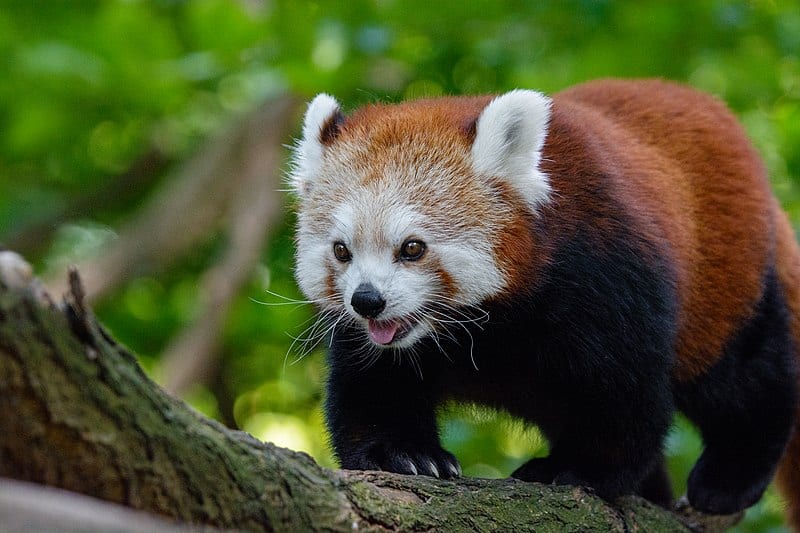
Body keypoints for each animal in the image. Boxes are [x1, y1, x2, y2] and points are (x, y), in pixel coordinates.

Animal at [290, 79, 800, 528]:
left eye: (412, 248)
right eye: (342, 250)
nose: (367, 301)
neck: (484, 325)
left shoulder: (607, 276)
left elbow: (626, 398)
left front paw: (576, 469)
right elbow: (373, 387)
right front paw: (405, 454)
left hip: (724, 281)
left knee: (745, 376)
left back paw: (728, 478)